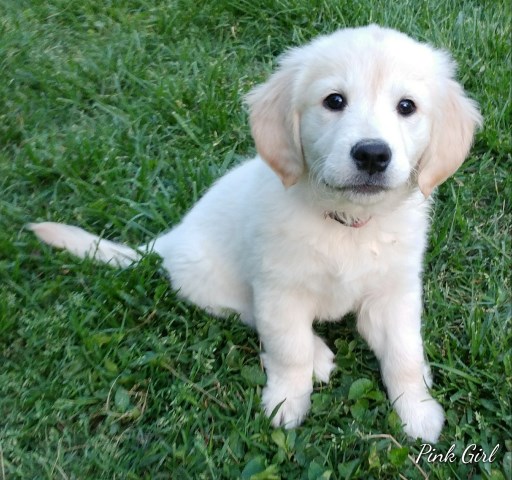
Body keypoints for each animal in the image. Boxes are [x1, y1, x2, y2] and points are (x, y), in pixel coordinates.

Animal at [30, 24, 482, 440]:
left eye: (407, 106)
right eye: (334, 101)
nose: (372, 154)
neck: (346, 222)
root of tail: (172, 238)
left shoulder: (395, 292)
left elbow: (404, 353)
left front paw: (419, 411)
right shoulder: (279, 290)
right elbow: (288, 349)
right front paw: (286, 402)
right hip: (213, 285)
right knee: (249, 315)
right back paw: (319, 355)